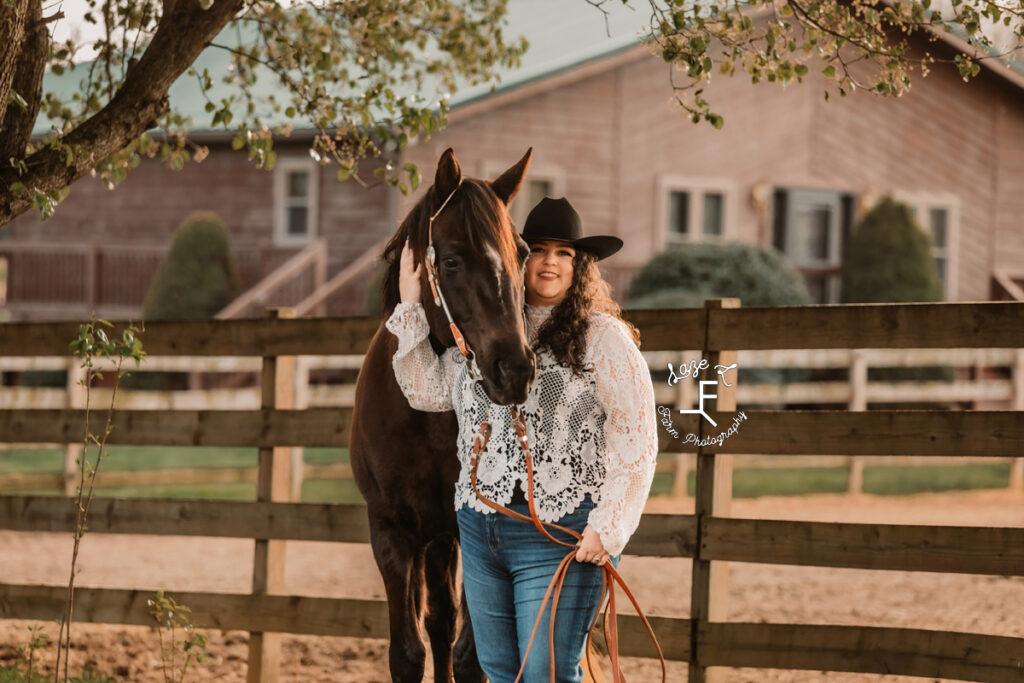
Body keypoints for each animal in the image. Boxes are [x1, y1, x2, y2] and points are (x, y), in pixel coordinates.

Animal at [352, 147, 536, 679]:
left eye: (523, 253)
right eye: (451, 259)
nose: (514, 368)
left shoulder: (475, 533)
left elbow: (471, 656)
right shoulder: (391, 530)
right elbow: (408, 652)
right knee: (436, 622)